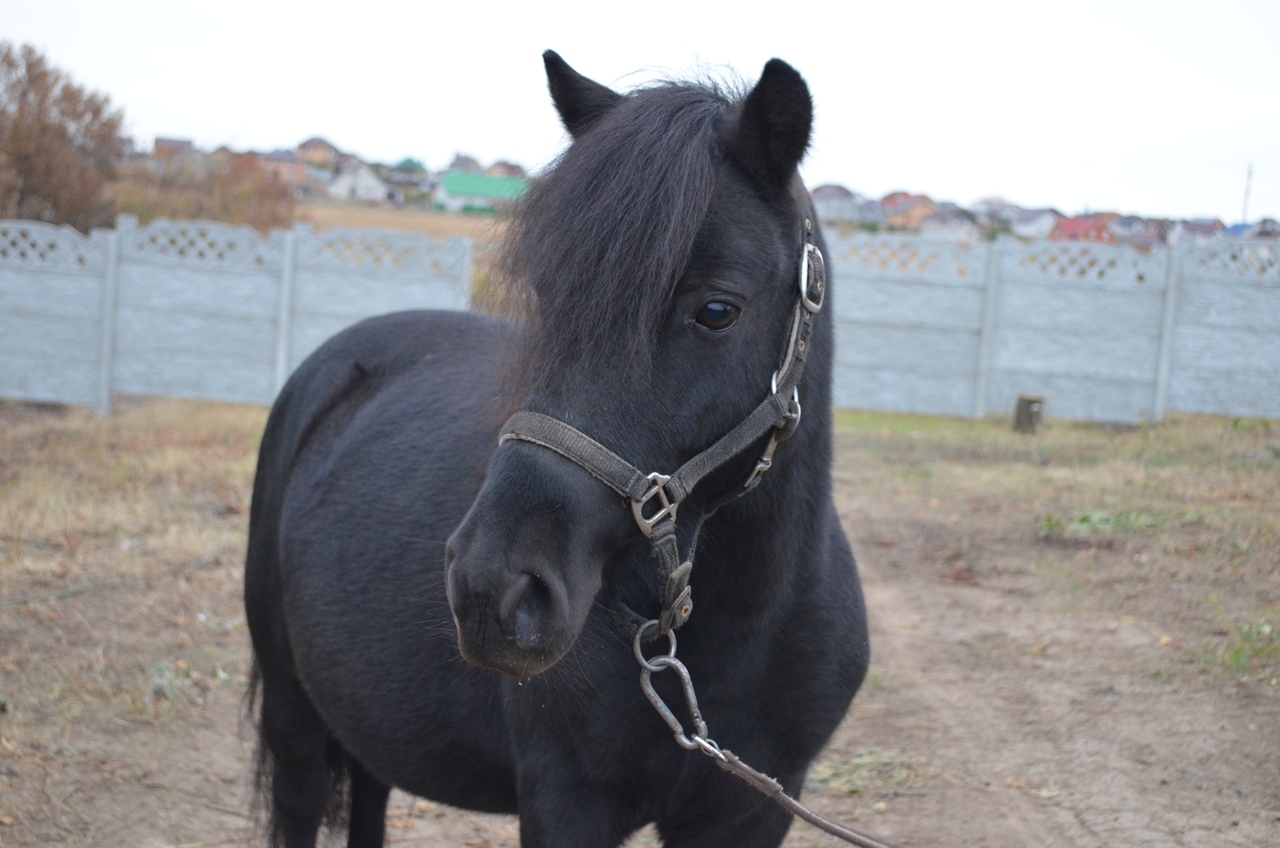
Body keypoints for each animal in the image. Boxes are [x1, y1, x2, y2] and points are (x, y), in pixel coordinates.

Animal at [244, 50, 870, 848]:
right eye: (548, 296)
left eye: (716, 310)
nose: (492, 588)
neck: (739, 631)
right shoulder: (565, 800)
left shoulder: (754, 810)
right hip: (294, 718)